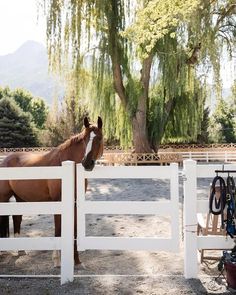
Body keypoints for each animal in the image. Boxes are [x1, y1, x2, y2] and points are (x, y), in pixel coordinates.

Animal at [0, 117, 103, 268]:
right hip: (3, 197)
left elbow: (74, 230)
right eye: (85, 139)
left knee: (17, 218)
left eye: (99, 138)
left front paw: (77, 262)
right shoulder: (59, 202)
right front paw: (57, 260)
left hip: (20, 198)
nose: (87, 163)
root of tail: (5, 160)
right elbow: (58, 230)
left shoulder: (74, 204)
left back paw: (21, 250)